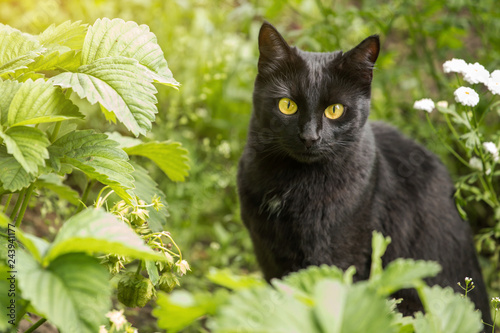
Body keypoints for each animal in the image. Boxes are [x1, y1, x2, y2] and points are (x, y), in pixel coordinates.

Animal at [238, 22, 492, 324]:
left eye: (335, 110)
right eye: (287, 105)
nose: (310, 137)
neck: (293, 184)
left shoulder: (339, 259)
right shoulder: (267, 254)